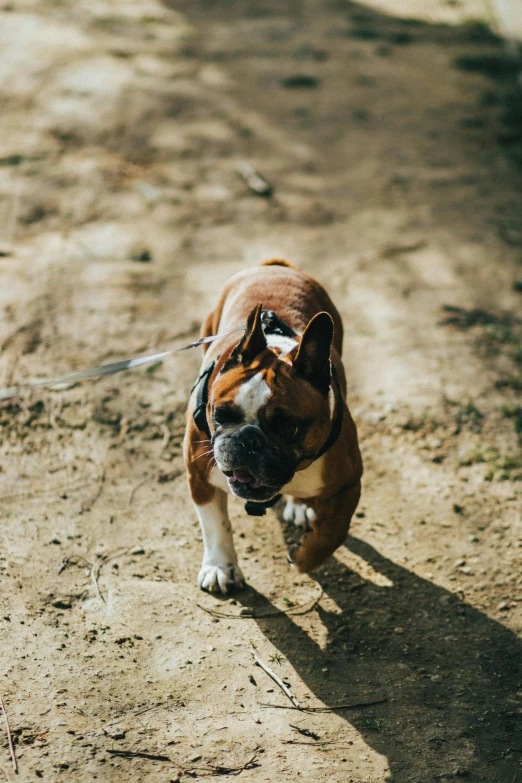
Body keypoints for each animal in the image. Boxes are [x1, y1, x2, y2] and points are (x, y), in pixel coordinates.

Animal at [184, 260, 362, 592]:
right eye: (221, 414)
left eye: (290, 428)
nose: (249, 440)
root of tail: (275, 266)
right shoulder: (199, 477)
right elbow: (215, 525)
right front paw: (220, 567)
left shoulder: (349, 484)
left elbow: (334, 531)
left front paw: (305, 558)